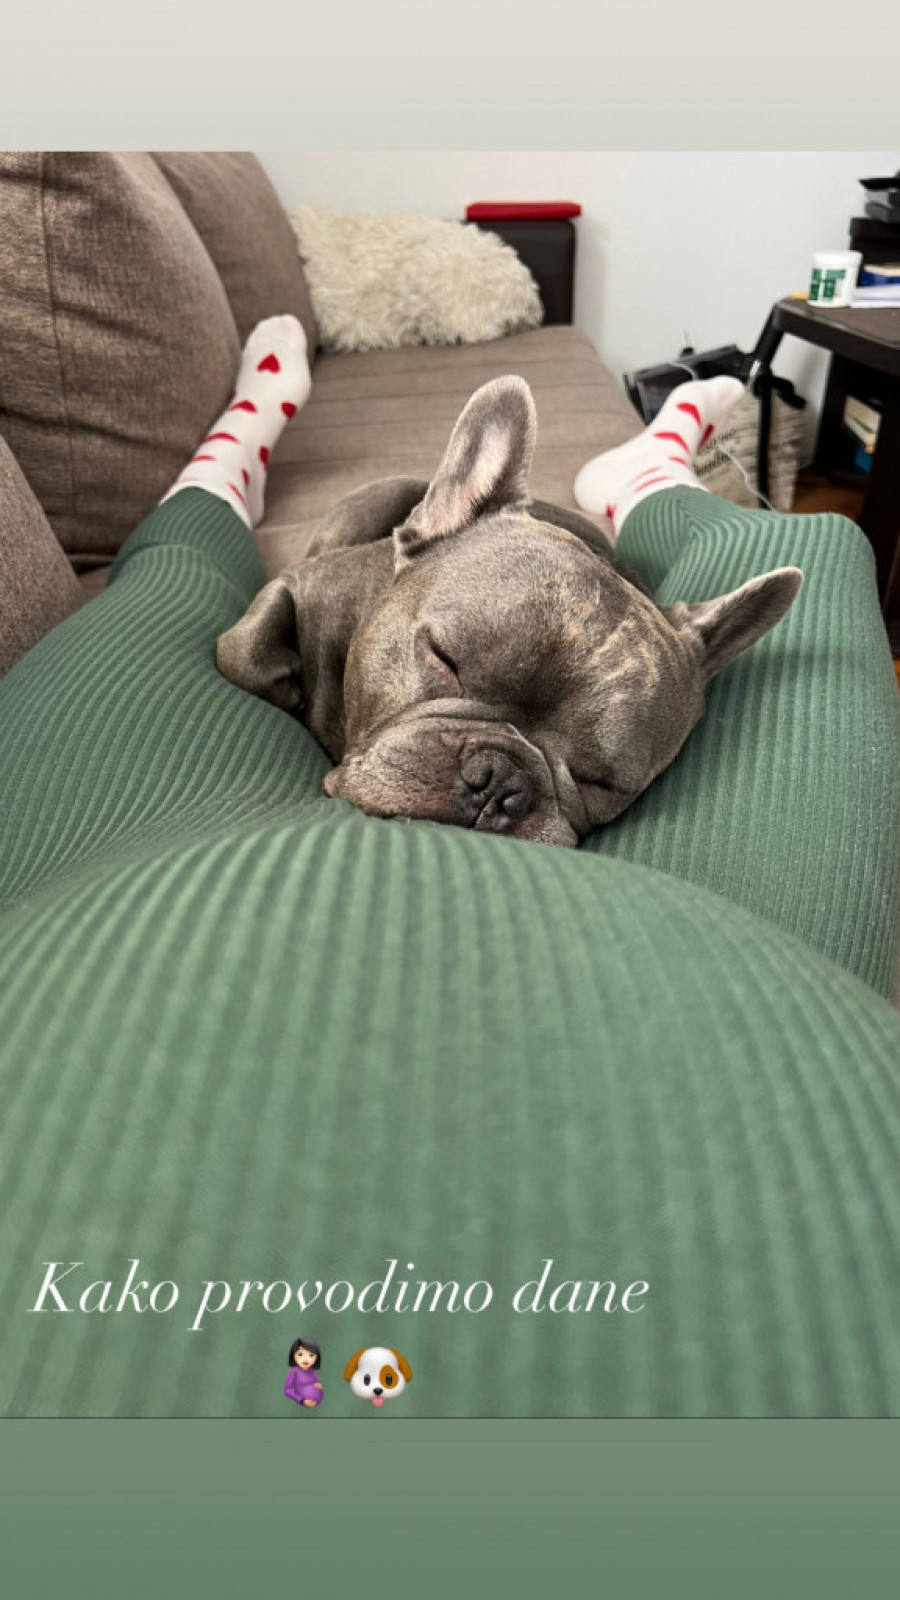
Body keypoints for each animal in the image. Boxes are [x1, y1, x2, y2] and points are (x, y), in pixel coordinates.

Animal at [217, 376, 801, 847]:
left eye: (602, 783)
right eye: (442, 658)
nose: (499, 781)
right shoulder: (303, 583)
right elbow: (244, 654)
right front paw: (289, 683)